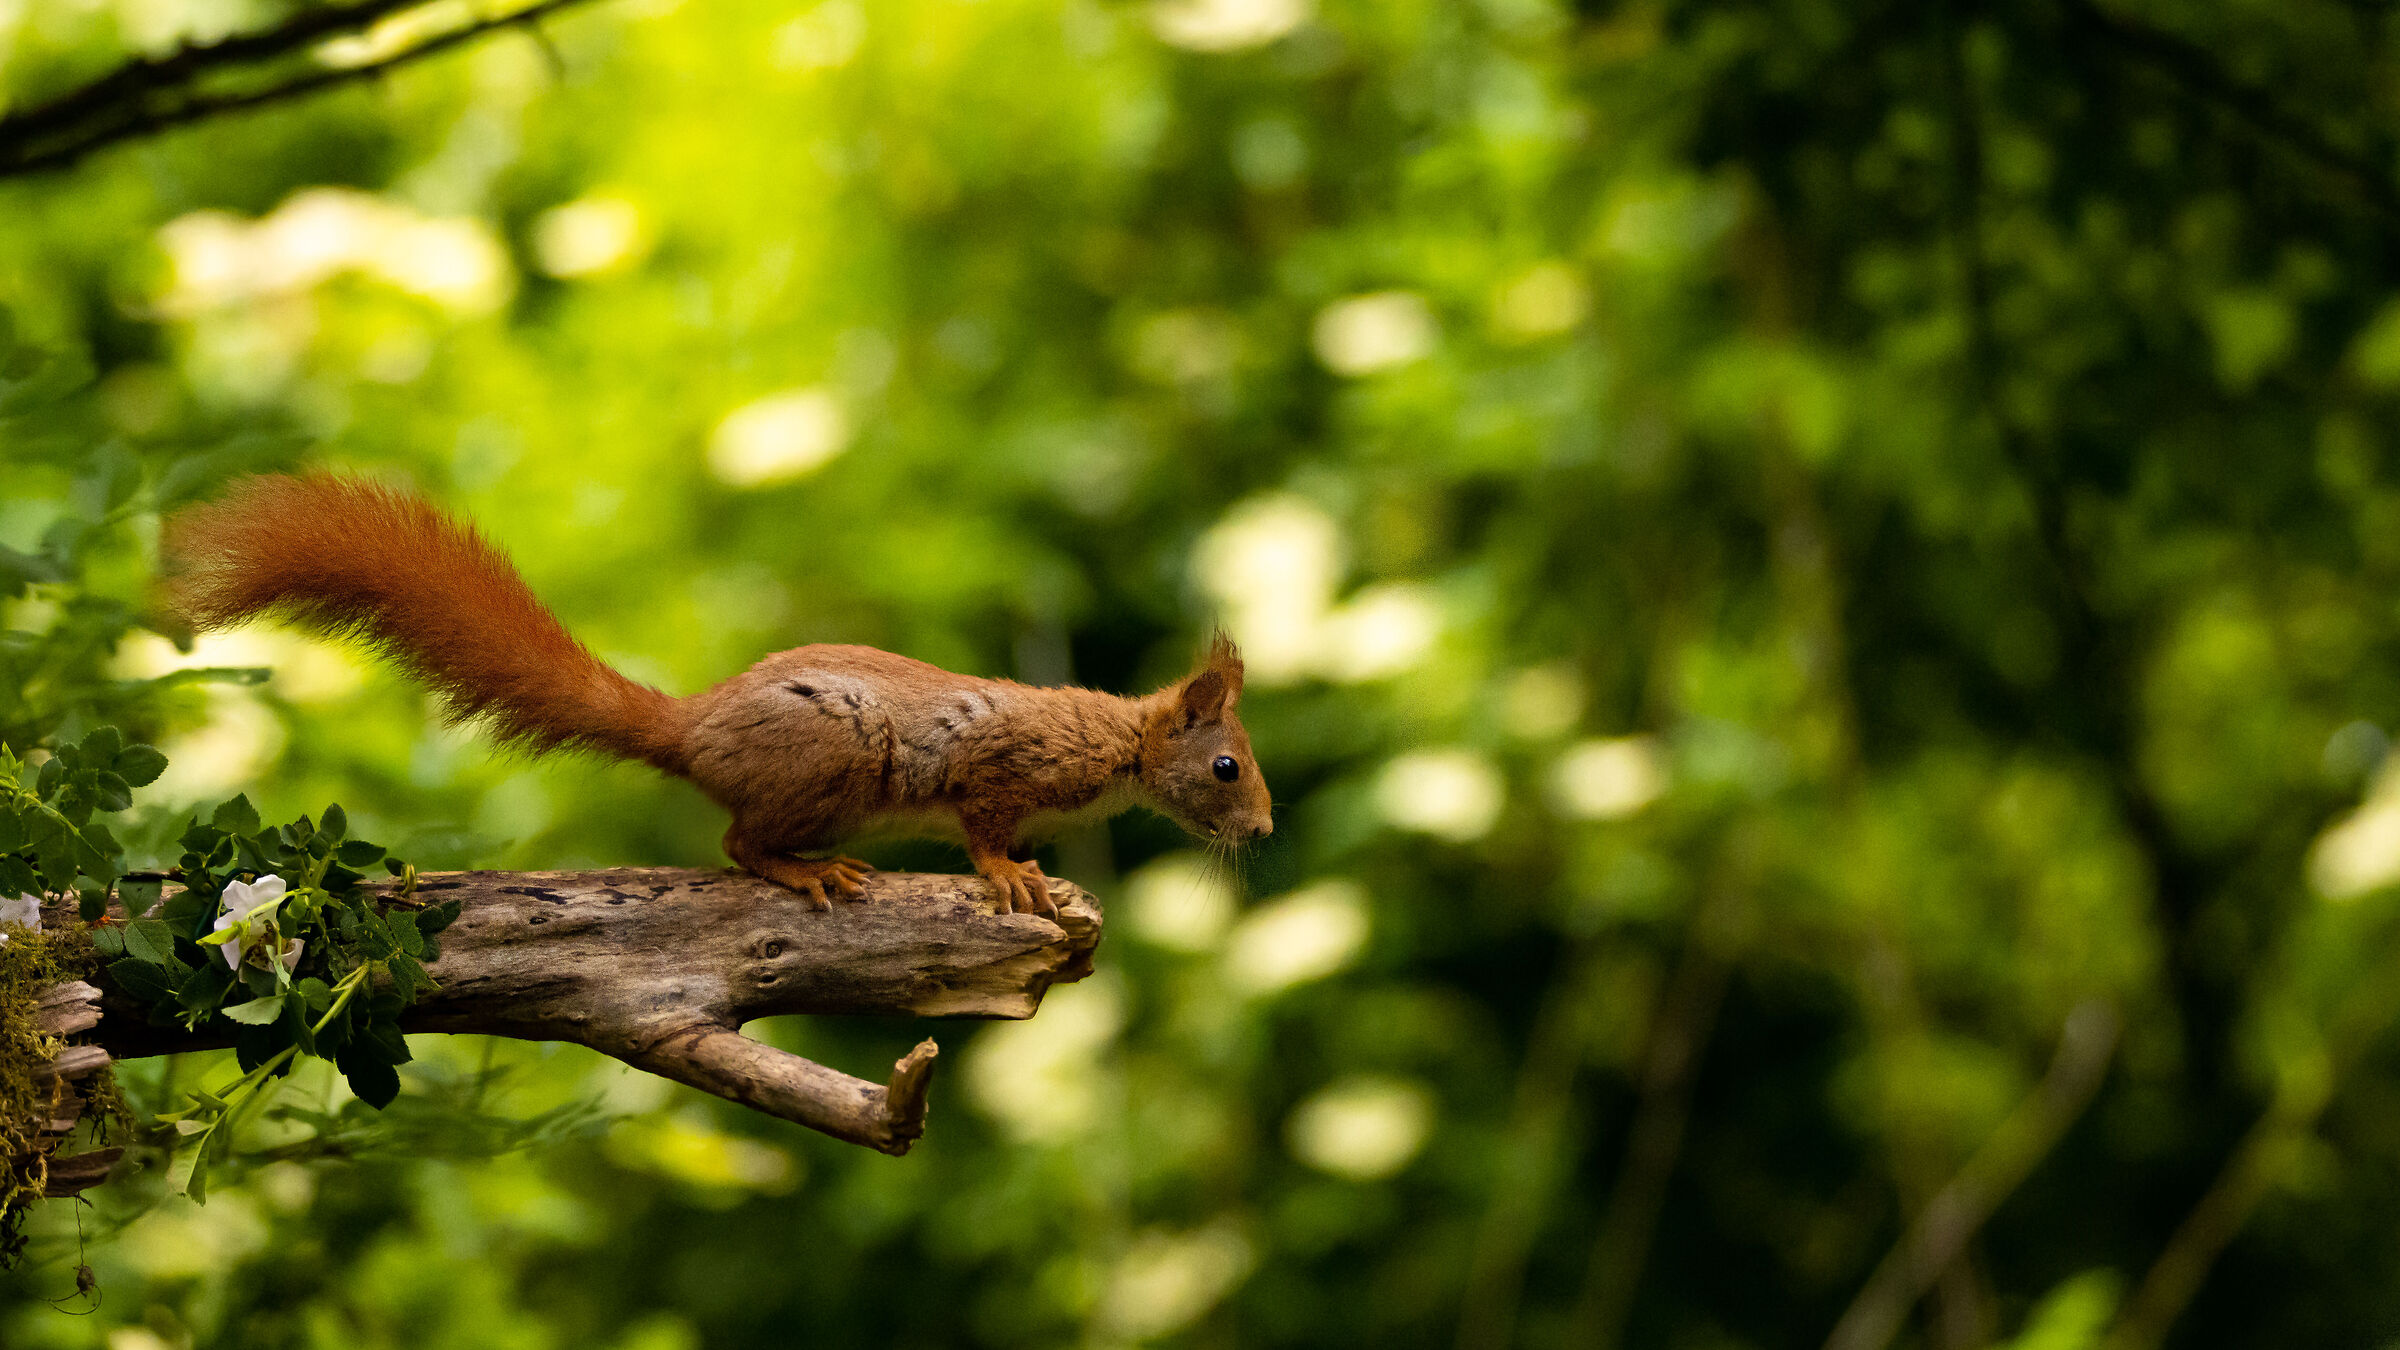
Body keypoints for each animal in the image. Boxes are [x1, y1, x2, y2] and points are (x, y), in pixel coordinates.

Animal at [157, 474, 1273, 916]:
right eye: (1225, 765)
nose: (1263, 833)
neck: (1119, 749)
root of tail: (690, 729)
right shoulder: (1007, 766)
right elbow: (985, 828)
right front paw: (1010, 875)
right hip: (836, 761)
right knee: (738, 843)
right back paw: (806, 871)